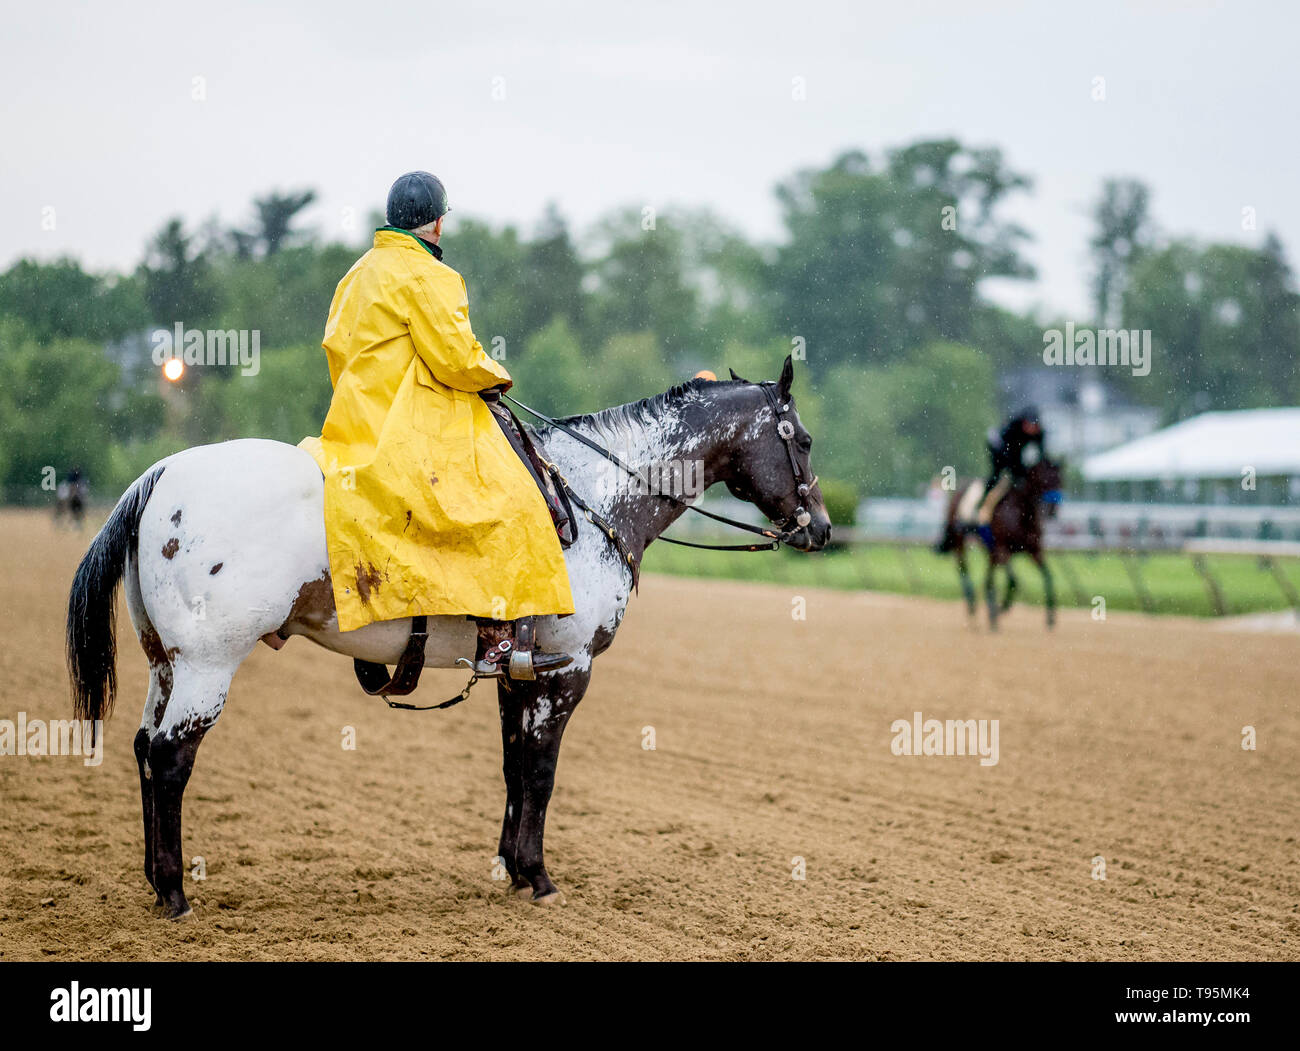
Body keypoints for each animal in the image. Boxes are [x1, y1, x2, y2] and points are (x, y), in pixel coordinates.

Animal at [65, 356, 826, 915]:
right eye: (805, 439)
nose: (818, 526)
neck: (590, 494)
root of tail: (162, 473)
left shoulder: (521, 673)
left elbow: (515, 768)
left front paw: (512, 869)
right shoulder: (567, 671)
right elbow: (542, 774)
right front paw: (540, 878)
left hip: (166, 665)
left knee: (143, 749)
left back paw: (154, 880)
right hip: (207, 665)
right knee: (170, 758)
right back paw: (174, 892)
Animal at [930, 457, 1060, 626]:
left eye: (1060, 480)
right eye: (1044, 480)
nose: (1052, 510)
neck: (1022, 512)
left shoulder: (1034, 550)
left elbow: (1048, 576)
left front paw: (1050, 618)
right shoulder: (1002, 549)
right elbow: (1013, 580)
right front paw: (1003, 607)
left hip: (989, 550)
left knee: (988, 578)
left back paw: (991, 614)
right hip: (960, 541)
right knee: (963, 567)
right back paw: (974, 608)